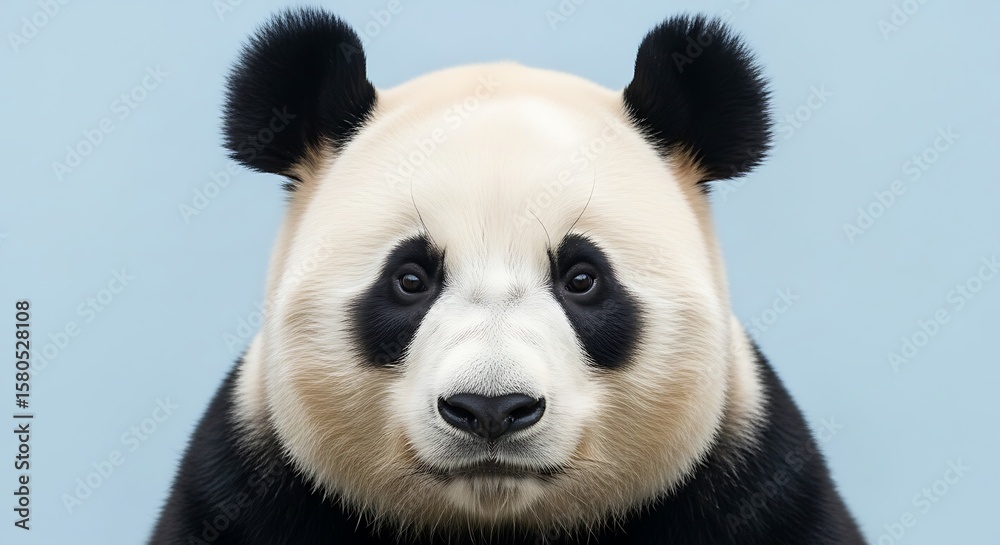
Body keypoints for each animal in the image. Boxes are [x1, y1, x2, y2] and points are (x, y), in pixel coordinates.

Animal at [151, 8, 865, 545]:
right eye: (410, 279)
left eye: (582, 279)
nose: (490, 410)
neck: (495, 523)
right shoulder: (247, 489)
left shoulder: (756, 489)